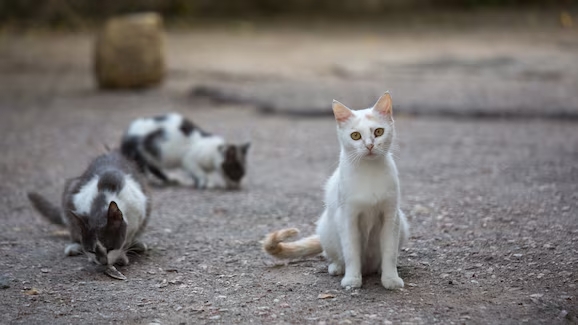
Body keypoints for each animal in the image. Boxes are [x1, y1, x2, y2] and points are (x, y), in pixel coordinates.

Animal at [28, 149, 150, 278]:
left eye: (110, 248)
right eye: (92, 250)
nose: (103, 262)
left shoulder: (139, 208)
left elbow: (128, 237)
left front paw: (122, 255)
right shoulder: (77, 198)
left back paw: (137, 243)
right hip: (71, 189)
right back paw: (74, 245)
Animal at [120, 112, 249, 190]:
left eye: (243, 174)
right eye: (236, 172)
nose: (237, 186)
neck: (213, 151)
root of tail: (127, 134)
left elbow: (195, 174)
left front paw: (198, 182)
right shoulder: (189, 159)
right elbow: (200, 172)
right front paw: (204, 183)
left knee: (152, 167)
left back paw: (168, 180)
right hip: (143, 151)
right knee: (142, 166)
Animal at [264, 92, 408, 288]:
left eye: (378, 132)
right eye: (355, 136)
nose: (369, 145)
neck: (369, 171)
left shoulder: (390, 216)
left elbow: (390, 251)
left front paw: (391, 279)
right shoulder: (348, 217)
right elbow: (351, 251)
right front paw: (352, 279)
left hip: (403, 224)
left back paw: (378, 269)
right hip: (327, 227)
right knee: (335, 255)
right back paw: (337, 268)